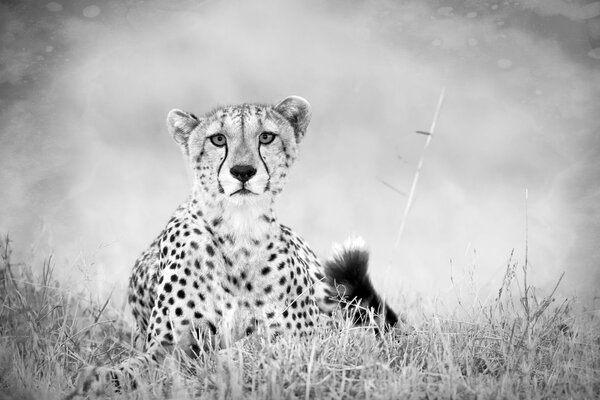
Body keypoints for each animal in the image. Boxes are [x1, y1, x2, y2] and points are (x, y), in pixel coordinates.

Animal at [72, 95, 396, 396]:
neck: (239, 230)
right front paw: (95, 379)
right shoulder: (166, 347)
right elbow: (133, 368)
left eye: (265, 137)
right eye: (218, 139)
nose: (242, 171)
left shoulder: (307, 337)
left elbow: (252, 347)